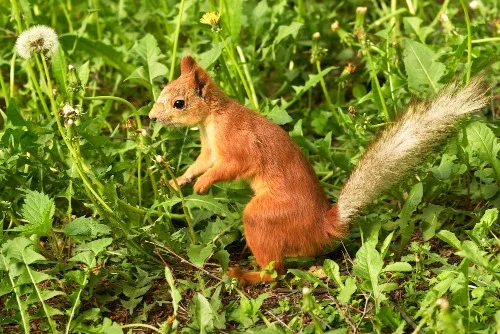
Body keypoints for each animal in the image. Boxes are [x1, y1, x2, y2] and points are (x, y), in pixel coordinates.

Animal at [149, 56, 488, 286]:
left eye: (178, 103)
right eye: (164, 89)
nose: (152, 117)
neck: (213, 118)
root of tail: (322, 227)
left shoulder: (238, 144)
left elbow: (230, 167)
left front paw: (203, 185)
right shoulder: (209, 149)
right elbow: (202, 163)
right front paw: (181, 180)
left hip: (266, 216)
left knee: (276, 271)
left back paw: (248, 275)